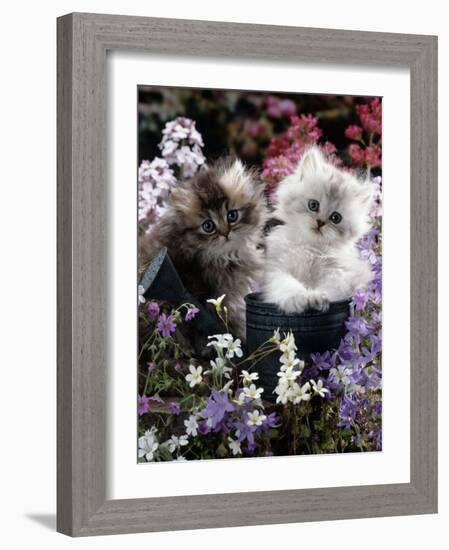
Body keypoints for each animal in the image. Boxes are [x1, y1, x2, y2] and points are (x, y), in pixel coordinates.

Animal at [262, 147, 374, 314]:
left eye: (335, 218)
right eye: (313, 205)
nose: (320, 222)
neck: (311, 247)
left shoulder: (342, 275)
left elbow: (331, 290)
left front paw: (318, 298)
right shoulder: (278, 270)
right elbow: (289, 286)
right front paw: (303, 298)